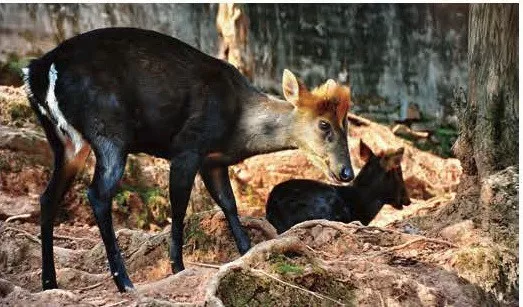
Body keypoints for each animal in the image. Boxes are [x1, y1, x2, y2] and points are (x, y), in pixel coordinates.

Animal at [21, 27, 356, 292]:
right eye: (324, 124)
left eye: (346, 124)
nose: (347, 172)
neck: (238, 126)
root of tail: (39, 70)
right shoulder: (188, 148)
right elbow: (180, 207)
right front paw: (177, 266)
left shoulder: (213, 161)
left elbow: (228, 203)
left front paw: (247, 251)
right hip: (109, 132)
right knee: (98, 194)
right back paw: (124, 281)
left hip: (65, 141)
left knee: (48, 197)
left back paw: (49, 282)